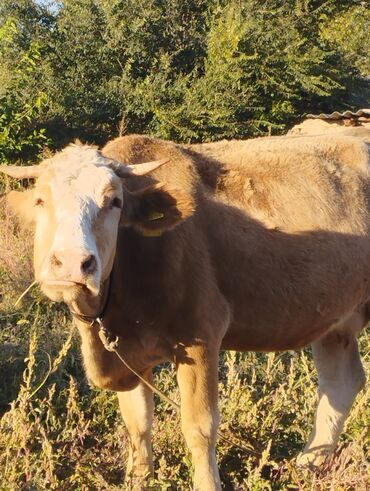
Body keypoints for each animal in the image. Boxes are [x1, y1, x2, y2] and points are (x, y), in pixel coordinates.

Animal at [0, 131, 370, 491]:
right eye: (41, 200)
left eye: (114, 202)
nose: (72, 263)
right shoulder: (129, 352)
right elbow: (138, 423)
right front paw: (138, 480)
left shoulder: (201, 335)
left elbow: (199, 427)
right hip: (335, 322)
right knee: (341, 384)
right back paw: (307, 465)